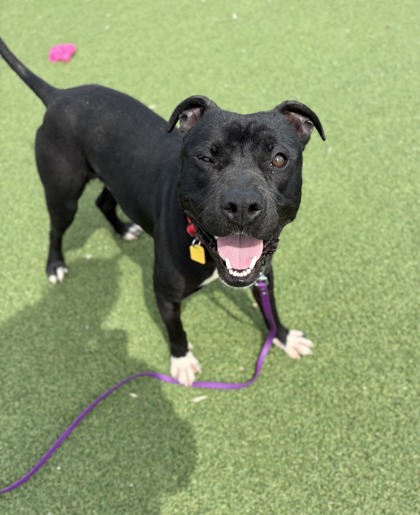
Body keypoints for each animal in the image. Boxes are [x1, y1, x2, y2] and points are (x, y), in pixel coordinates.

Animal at [0, 39, 325, 386]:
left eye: (279, 159)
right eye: (206, 158)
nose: (242, 205)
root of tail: (60, 95)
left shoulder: (264, 273)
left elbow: (270, 309)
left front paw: (284, 337)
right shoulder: (165, 294)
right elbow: (175, 329)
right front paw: (181, 360)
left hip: (115, 178)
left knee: (103, 202)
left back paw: (123, 229)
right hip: (63, 195)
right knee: (56, 229)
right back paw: (56, 265)